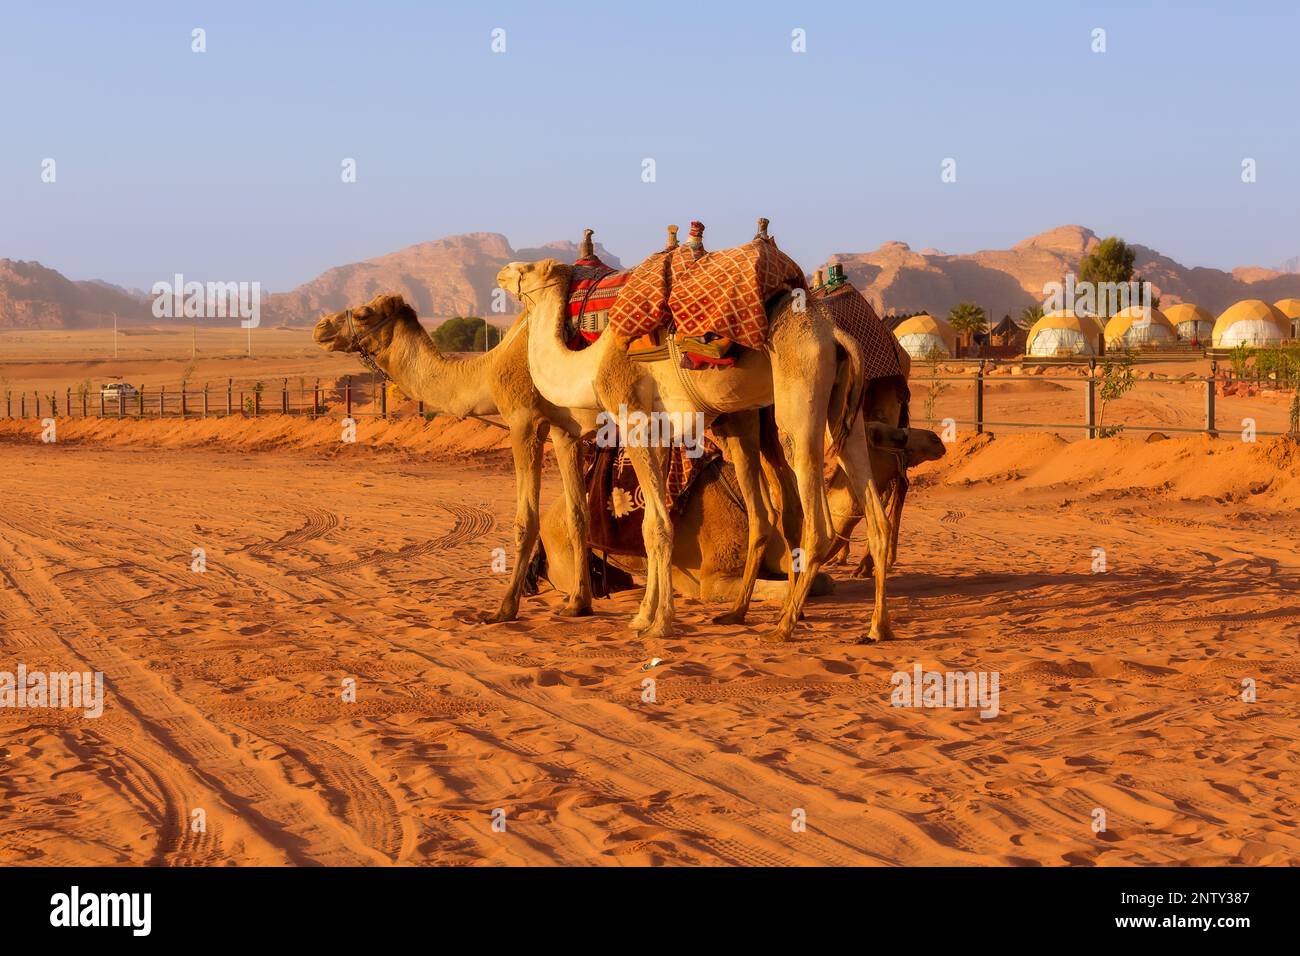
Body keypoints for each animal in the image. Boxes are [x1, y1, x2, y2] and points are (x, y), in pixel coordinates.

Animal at [314, 295, 598, 624]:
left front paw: (503, 610)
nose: (321, 327)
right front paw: (579, 603)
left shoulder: (523, 420)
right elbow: (577, 515)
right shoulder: (565, 431)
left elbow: (526, 521)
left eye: (363, 314)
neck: (488, 369)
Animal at [496, 243, 863, 642]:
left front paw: (658, 623)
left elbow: (656, 525)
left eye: (527, 269)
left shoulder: (632, 417)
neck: (593, 364)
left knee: (814, 510)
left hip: (800, 390)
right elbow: (650, 524)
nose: (501, 273)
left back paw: (783, 626)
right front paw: (646, 616)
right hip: (835, 405)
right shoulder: (657, 432)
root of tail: (832, 333)